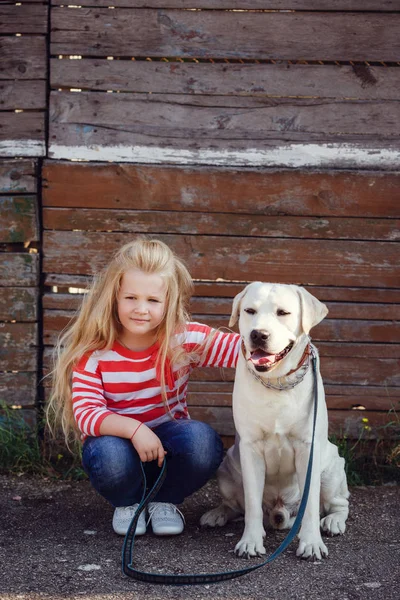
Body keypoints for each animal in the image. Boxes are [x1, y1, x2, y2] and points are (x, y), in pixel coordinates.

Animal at [202, 284, 348, 560]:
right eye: (250, 311)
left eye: (283, 312)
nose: (258, 334)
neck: (277, 381)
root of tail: (281, 511)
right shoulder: (250, 449)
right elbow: (251, 504)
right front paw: (250, 541)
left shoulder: (308, 448)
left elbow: (311, 505)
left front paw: (311, 542)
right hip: (227, 467)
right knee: (236, 505)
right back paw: (217, 514)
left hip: (332, 467)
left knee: (338, 503)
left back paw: (333, 521)